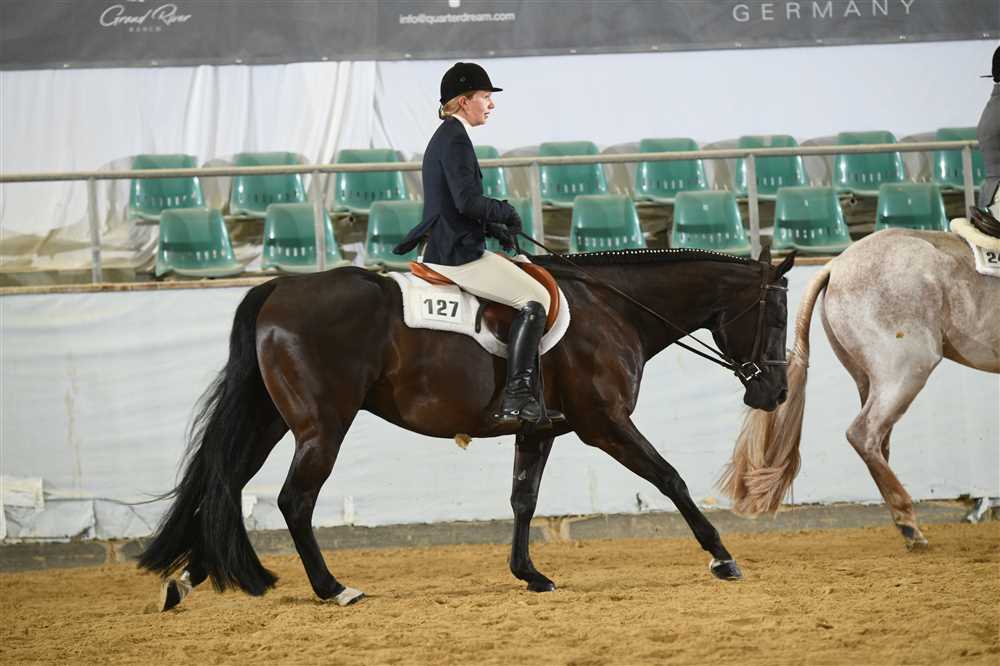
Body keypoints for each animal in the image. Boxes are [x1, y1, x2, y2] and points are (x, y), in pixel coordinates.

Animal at [139, 246, 795, 609]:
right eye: (775, 316)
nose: (775, 392)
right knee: (293, 500)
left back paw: (188, 581)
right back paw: (334, 589)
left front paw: (531, 575)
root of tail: (279, 287)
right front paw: (722, 558)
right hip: (323, 425)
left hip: (273, 419)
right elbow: (670, 479)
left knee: (224, 485)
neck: (613, 309)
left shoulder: (540, 429)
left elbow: (524, 500)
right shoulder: (604, 422)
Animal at [721, 228, 1000, 549]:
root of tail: (837, 265)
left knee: (879, 443)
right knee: (864, 434)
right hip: (906, 370)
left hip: (869, 379)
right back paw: (908, 522)